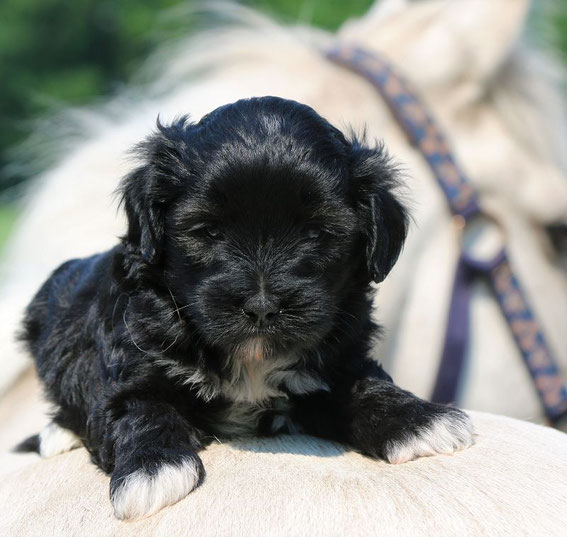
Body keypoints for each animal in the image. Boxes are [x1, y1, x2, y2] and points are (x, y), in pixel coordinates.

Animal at [20, 96, 472, 520]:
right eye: (208, 231)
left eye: (316, 233)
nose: (262, 305)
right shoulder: (134, 365)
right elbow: (139, 408)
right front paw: (152, 469)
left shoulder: (335, 362)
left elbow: (362, 384)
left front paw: (417, 420)